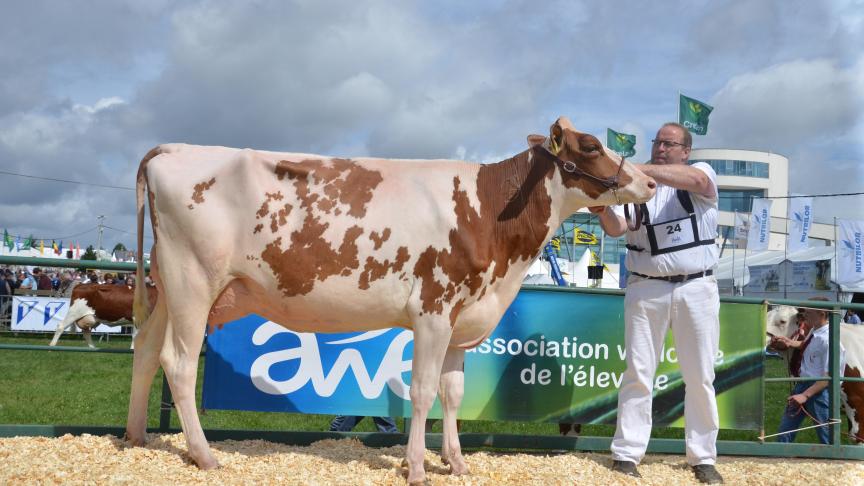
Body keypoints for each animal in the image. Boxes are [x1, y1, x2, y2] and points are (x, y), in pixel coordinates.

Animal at [124, 116, 657, 484]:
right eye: (592, 146)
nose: (651, 182)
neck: (488, 211)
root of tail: (175, 149)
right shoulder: (434, 311)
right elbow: (421, 392)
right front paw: (417, 467)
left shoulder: (462, 320)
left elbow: (453, 393)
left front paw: (456, 463)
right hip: (194, 280)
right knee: (178, 360)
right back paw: (203, 454)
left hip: (168, 287)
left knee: (146, 349)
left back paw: (136, 437)